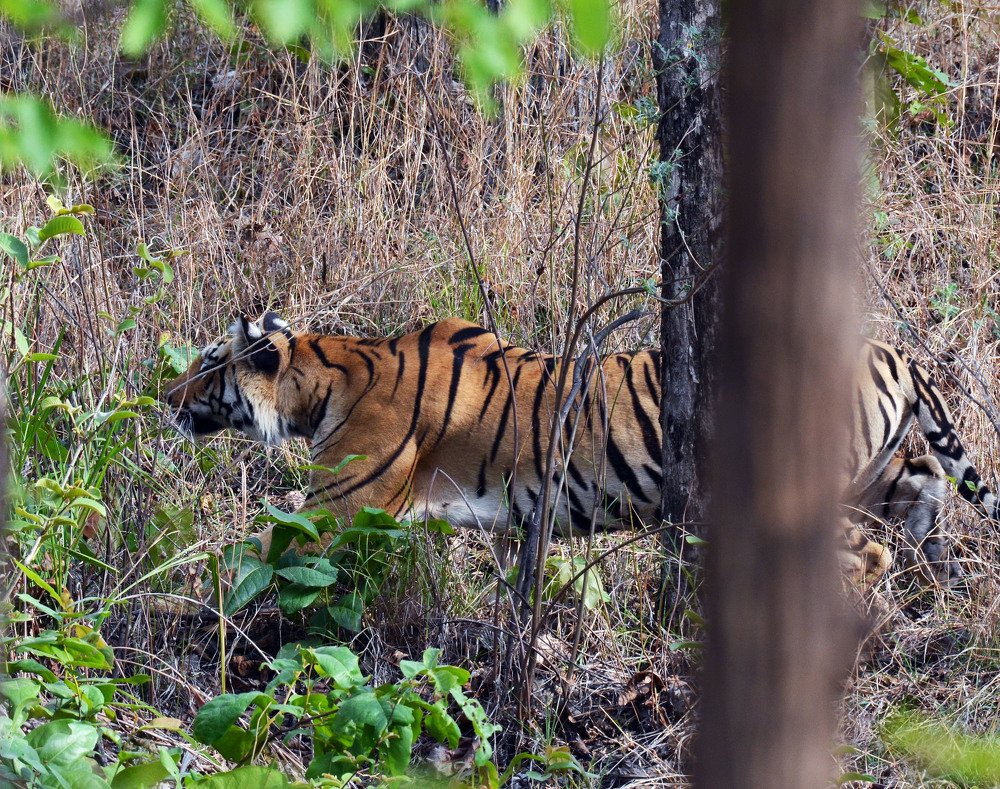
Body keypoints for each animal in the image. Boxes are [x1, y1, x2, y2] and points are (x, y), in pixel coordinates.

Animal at [163, 312, 998, 586]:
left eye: (207, 362)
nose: (164, 398)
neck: (330, 372)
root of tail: (889, 348)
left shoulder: (335, 506)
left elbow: (256, 557)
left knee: (869, 551)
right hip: (882, 471)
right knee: (922, 492)